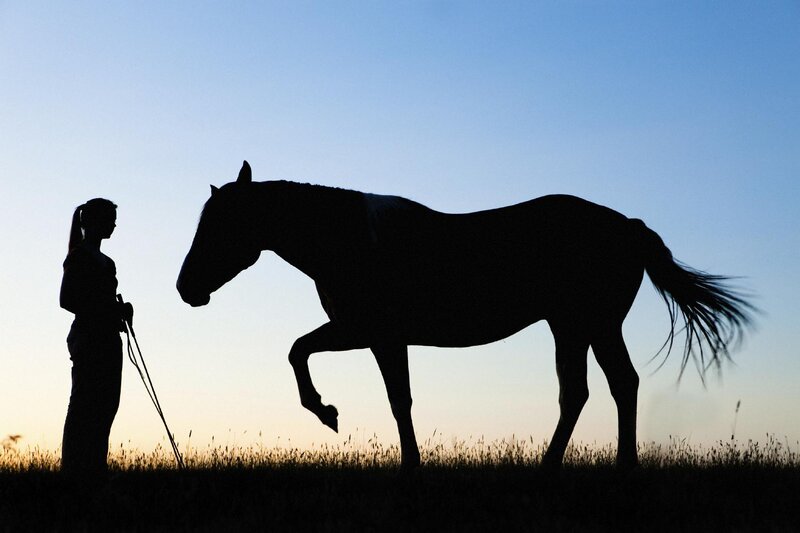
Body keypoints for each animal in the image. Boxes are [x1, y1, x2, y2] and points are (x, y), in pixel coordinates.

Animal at [177, 161, 753, 471]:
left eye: (221, 225)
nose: (186, 289)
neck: (351, 241)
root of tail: (629, 225)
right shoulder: (375, 337)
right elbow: (389, 395)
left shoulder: (371, 333)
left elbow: (316, 360)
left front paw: (328, 413)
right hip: (575, 326)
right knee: (596, 389)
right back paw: (578, 467)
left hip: (589, 324)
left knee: (606, 387)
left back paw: (593, 467)